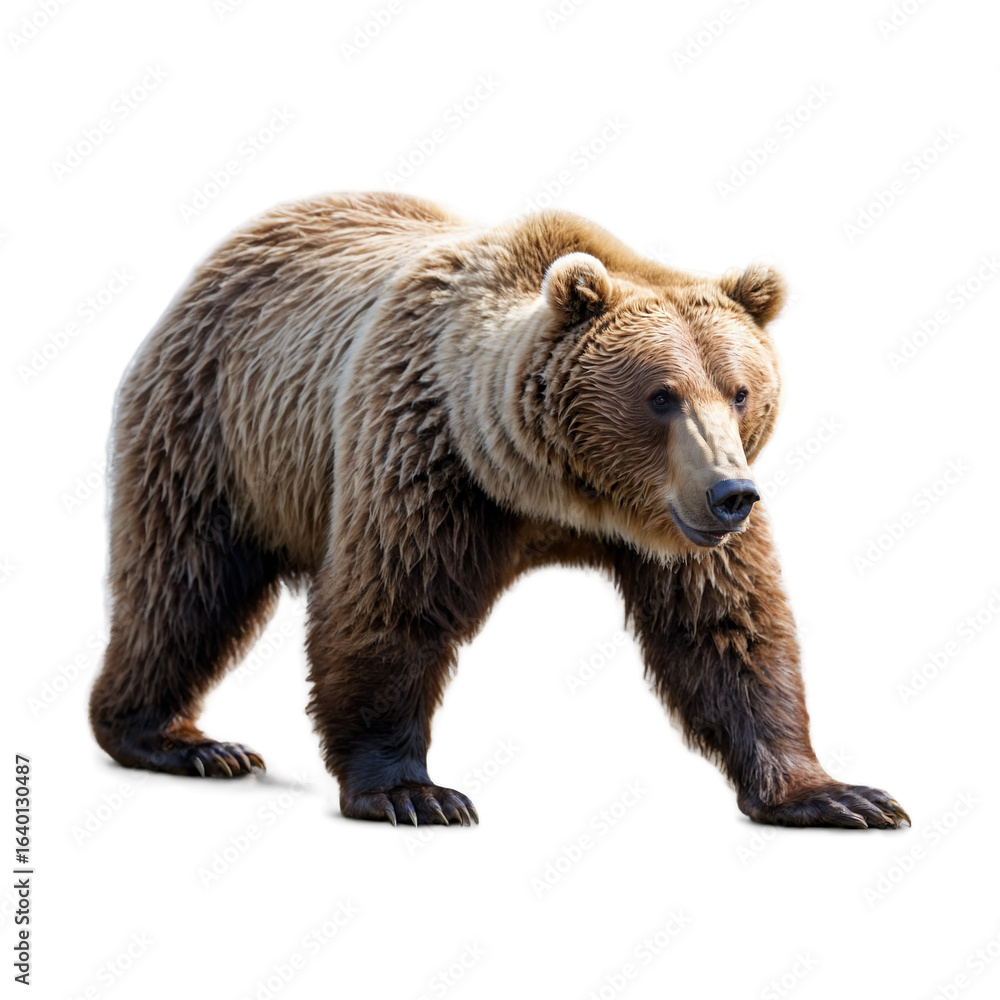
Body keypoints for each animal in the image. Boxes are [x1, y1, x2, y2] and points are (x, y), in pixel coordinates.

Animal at [90, 191, 909, 830]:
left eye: (740, 390)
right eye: (661, 394)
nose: (730, 494)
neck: (556, 494)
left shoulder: (679, 531)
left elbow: (729, 627)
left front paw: (838, 795)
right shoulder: (425, 456)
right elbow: (391, 604)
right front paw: (412, 791)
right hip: (217, 430)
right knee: (185, 585)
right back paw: (177, 739)